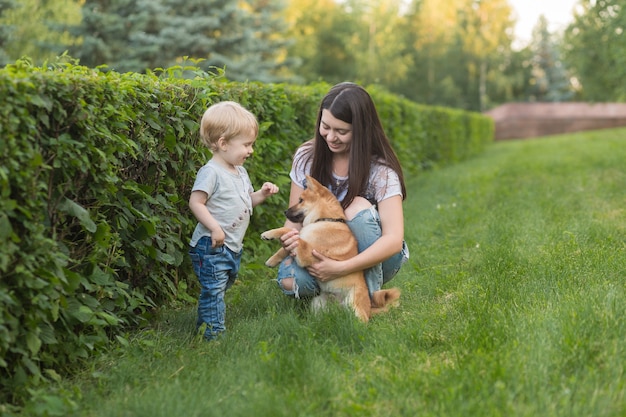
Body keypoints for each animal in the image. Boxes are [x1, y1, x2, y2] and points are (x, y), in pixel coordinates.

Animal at [260, 174, 400, 320]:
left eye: (300, 200)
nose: (285, 211)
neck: (325, 220)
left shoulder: (307, 252)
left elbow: (290, 233)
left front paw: (268, 233)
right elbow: (288, 243)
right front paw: (272, 260)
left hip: (354, 304)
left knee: (361, 320)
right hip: (318, 303)